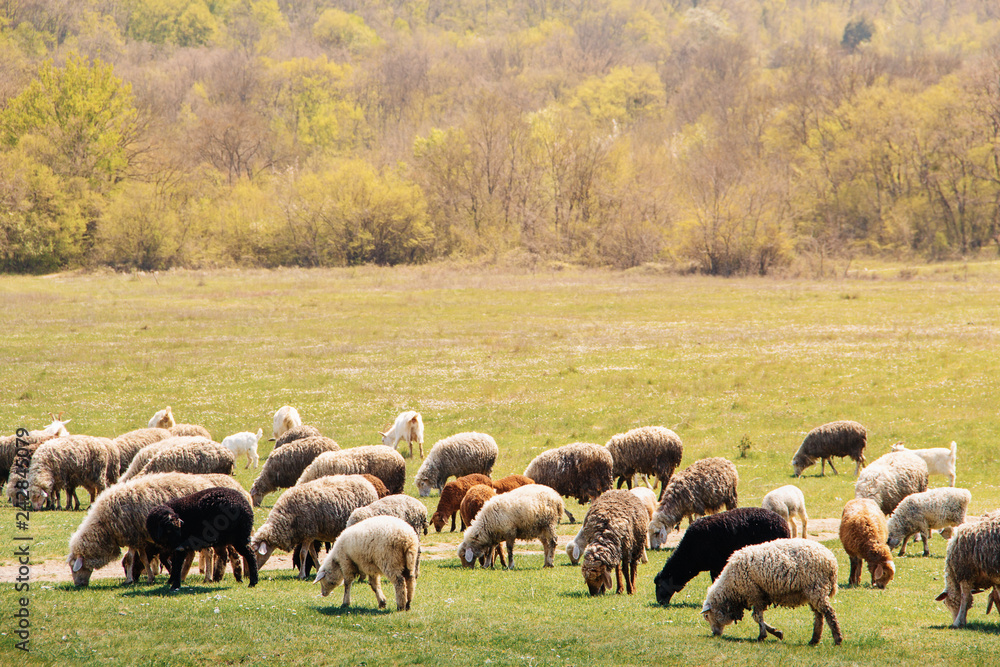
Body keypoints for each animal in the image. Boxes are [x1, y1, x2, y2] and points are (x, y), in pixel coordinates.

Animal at [66, 472, 247, 586]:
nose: (79, 585)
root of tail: (207, 483)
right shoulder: (138, 536)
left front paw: (129, 580)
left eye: (75, 567)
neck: (104, 526)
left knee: (208, 552)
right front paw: (150, 578)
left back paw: (208, 577)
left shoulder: (131, 533)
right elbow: (143, 558)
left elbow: (131, 558)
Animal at [653, 507, 791, 605]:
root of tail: (785, 524)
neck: (688, 557)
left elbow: (716, 581)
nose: (660, 602)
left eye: (659, 585)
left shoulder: (717, 565)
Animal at [701, 538, 842, 645]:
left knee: (828, 612)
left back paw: (837, 638)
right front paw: (776, 632)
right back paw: (814, 639)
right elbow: (757, 617)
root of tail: (832, 561)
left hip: (816, 587)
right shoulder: (760, 595)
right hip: (812, 591)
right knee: (819, 615)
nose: (715, 634)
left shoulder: (754, 593)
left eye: (707, 616)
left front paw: (763, 635)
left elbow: (757, 617)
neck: (730, 587)